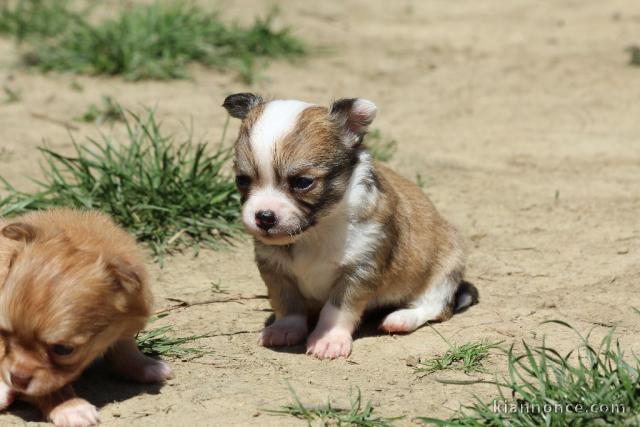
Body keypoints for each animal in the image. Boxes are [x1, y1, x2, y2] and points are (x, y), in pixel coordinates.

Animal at [0, 211, 172, 427]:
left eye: (63, 350)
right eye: (3, 332)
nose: (17, 379)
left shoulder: (124, 324)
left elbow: (125, 348)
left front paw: (145, 365)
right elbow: (49, 387)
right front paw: (69, 406)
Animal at [225, 93, 476, 362]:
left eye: (303, 182)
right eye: (242, 180)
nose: (264, 216)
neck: (316, 231)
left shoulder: (359, 270)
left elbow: (337, 310)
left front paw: (329, 339)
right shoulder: (274, 268)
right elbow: (287, 302)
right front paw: (284, 328)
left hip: (446, 267)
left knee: (435, 307)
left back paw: (401, 318)